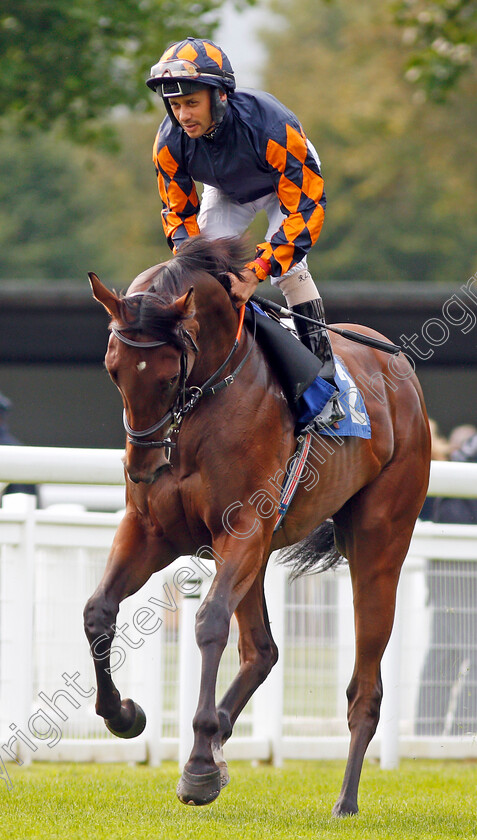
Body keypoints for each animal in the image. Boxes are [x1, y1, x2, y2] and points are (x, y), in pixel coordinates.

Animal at [83, 235, 430, 812]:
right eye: (114, 370)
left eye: (168, 375)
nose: (142, 466)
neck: (200, 409)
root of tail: (400, 374)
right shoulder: (152, 531)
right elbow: (98, 611)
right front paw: (124, 715)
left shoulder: (243, 528)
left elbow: (208, 624)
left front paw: (200, 766)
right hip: (263, 554)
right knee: (263, 651)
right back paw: (219, 736)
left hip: (378, 545)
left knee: (365, 686)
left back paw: (344, 798)